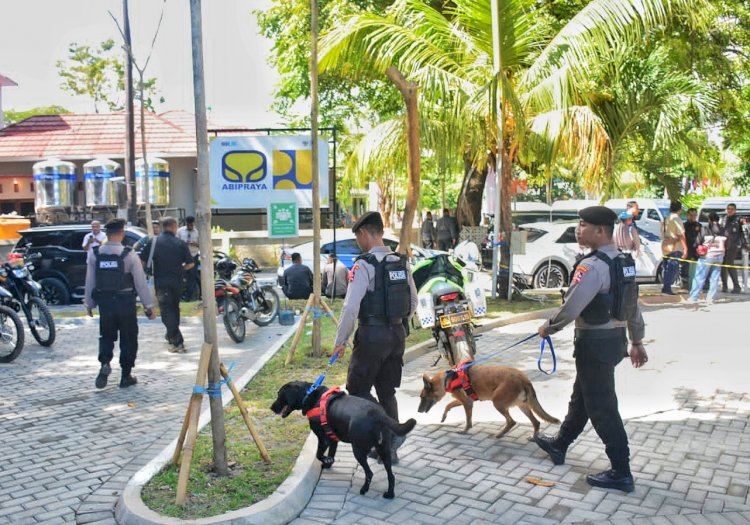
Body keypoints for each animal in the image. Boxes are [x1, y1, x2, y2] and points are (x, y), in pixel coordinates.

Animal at [84, 218, 156, 388]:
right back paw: (126, 378)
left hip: (107, 317)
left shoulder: (91, 264)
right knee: (129, 339)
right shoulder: (135, 260)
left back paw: (102, 374)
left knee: (106, 338)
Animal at [274, 380, 420, 496]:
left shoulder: (323, 439)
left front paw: (325, 460)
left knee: (370, 473)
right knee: (391, 475)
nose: (271, 407)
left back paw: (364, 490)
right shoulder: (332, 439)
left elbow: (318, 454)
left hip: (358, 450)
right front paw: (329, 463)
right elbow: (332, 453)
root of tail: (378, 414)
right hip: (384, 450)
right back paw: (390, 494)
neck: (310, 395)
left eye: (280, 395)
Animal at [334, 211, 420, 460]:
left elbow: (350, 307)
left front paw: (339, 345)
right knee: (387, 393)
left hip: (368, 355)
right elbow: (414, 298)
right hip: (392, 359)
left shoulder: (359, 270)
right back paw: (395, 441)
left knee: (363, 390)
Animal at [420, 362, 560, 436]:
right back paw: (533, 436)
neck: (447, 378)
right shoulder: (464, 401)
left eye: (422, 397)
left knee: (512, 421)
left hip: (497, 402)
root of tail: (523, 378)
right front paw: (444, 417)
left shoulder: (467, 403)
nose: (418, 411)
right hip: (522, 406)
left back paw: (500, 435)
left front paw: (465, 430)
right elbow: (448, 405)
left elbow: (468, 420)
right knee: (536, 422)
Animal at [532, 207, 648, 494]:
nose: (577, 228)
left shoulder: (588, 273)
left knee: (600, 409)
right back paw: (557, 446)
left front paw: (547, 328)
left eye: (583, 223)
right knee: (580, 402)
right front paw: (556, 444)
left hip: (592, 364)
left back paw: (618, 476)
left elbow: (572, 305)